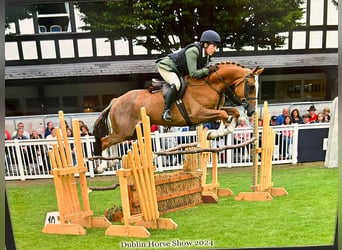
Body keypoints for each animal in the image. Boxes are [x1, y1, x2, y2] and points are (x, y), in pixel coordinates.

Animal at [93, 61, 264, 157]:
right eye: (251, 86)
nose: (252, 111)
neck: (210, 84)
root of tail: (116, 100)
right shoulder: (198, 115)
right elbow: (222, 115)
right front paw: (215, 133)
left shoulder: (213, 109)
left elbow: (233, 112)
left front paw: (226, 129)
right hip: (125, 132)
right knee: (104, 141)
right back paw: (102, 166)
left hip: (132, 132)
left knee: (111, 142)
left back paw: (110, 162)